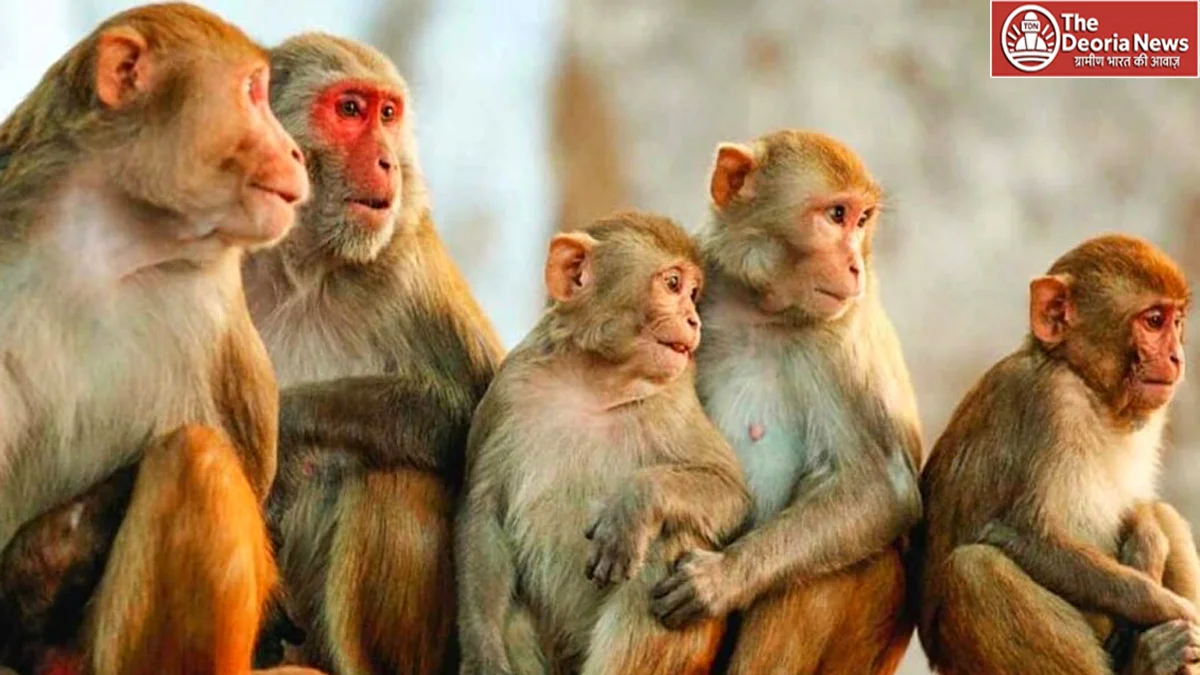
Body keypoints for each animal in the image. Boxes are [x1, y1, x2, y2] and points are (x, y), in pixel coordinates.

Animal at [239, 33, 503, 675]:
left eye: (387, 114)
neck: (302, 266)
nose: (386, 160)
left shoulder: (407, 264)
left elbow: (479, 417)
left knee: (391, 474)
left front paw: (288, 426)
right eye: (350, 110)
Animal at [456, 210, 752, 675]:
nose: (694, 321)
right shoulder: (509, 389)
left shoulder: (674, 403)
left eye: (694, 294)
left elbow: (729, 491)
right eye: (673, 284)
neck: (595, 385)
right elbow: (484, 512)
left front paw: (633, 506)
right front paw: (482, 655)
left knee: (669, 541)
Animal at [647, 130, 924, 675]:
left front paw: (721, 578)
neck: (762, 310)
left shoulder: (841, 338)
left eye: (862, 219)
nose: (855, 266)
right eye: (836, 215)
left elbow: (884, 487)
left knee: (832, 562)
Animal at [916, 234, 1199, 675]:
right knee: (975, 570)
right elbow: (1024, 533)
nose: (1176, 357)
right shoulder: (1052, 402)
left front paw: (1147, 543)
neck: (1088, 387)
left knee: (1167, 515)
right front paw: (1166, 604)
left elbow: (1141, 508)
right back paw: (1149, 660)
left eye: (1176, 321)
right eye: (1154, 321)